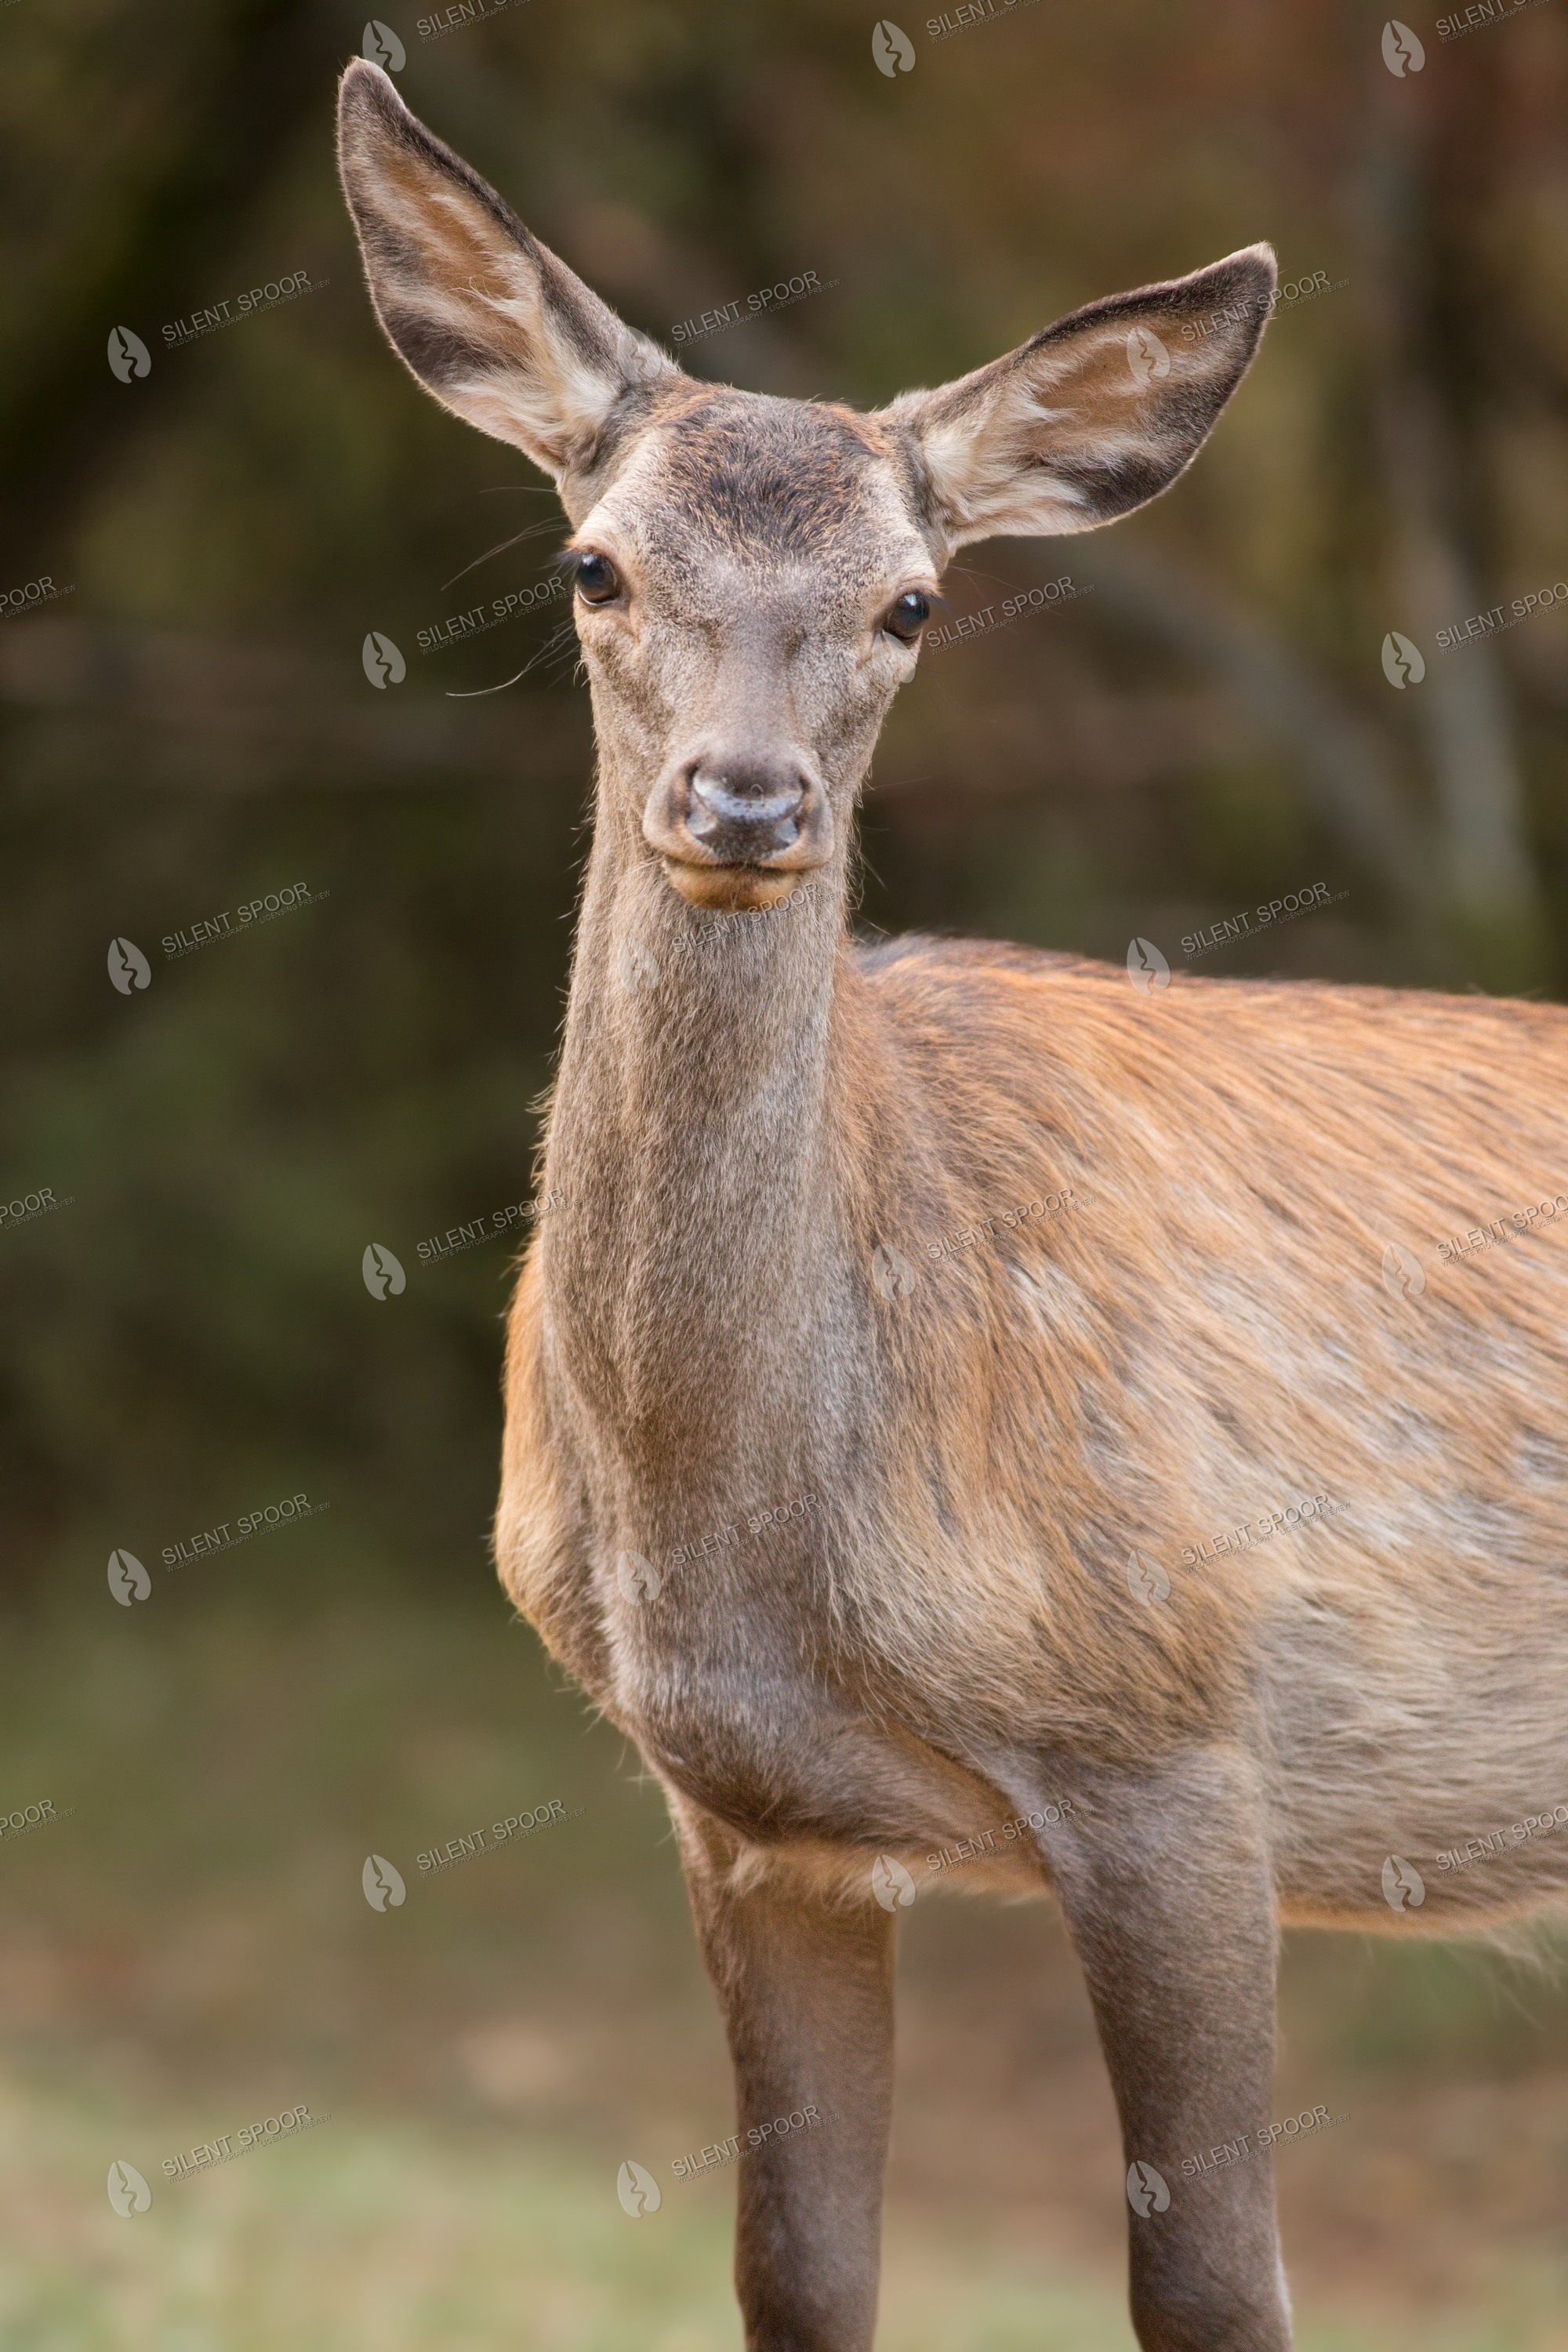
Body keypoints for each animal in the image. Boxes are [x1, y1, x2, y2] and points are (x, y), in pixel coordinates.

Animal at [338, 58, 1568, 2352]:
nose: (745, 803)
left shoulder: (1173, 1733)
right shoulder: (753, 1824)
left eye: (912, 598)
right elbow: (797, 2271)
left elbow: (1212, 2288)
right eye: (590, 564)